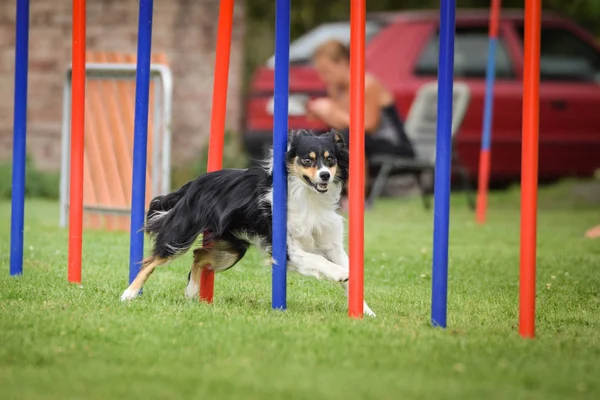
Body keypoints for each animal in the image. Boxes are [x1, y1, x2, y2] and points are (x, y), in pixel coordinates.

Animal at [120, 130, 376, 318]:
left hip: (233, 247)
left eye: (331, 160)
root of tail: (195, 182)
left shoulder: (331, 243)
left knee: (199, 255)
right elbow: (319, 261)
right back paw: (129, 293)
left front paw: (365, 311)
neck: (308, 196)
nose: (325, 175)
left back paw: (192, 291)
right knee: (152, 261)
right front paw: (340, 274)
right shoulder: (288, 248)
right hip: (181, 233)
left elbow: (343, 266)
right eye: (307, 160)